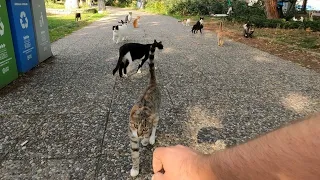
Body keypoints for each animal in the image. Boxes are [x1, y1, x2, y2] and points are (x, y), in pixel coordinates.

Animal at [129, 49, 161, 177]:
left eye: (144, 128)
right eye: (135, 125)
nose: (138, 134)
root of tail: (152, 84)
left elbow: (148, 134)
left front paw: (146, 140)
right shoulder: (132, 136)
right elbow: (134, 154)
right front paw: (135, 169)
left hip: (156, 114)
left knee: (155, 125)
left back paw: (151, 138)